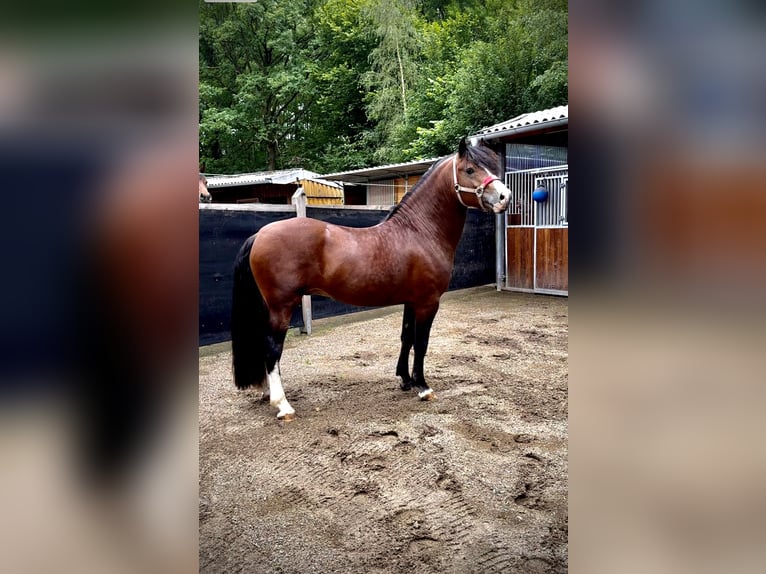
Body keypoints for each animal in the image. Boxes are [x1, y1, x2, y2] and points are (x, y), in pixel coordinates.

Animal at [231, 137, 512, 420]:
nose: (505, 197)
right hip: (282, 306)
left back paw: (268, 394)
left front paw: (406, 380)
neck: (419, 232)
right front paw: (423, 387)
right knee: (272, 349)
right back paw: (283, 405)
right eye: (469, 170)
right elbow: (421, 342)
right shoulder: (428, 302)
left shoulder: (411, 301)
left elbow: (406, 337)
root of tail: (259, 235)